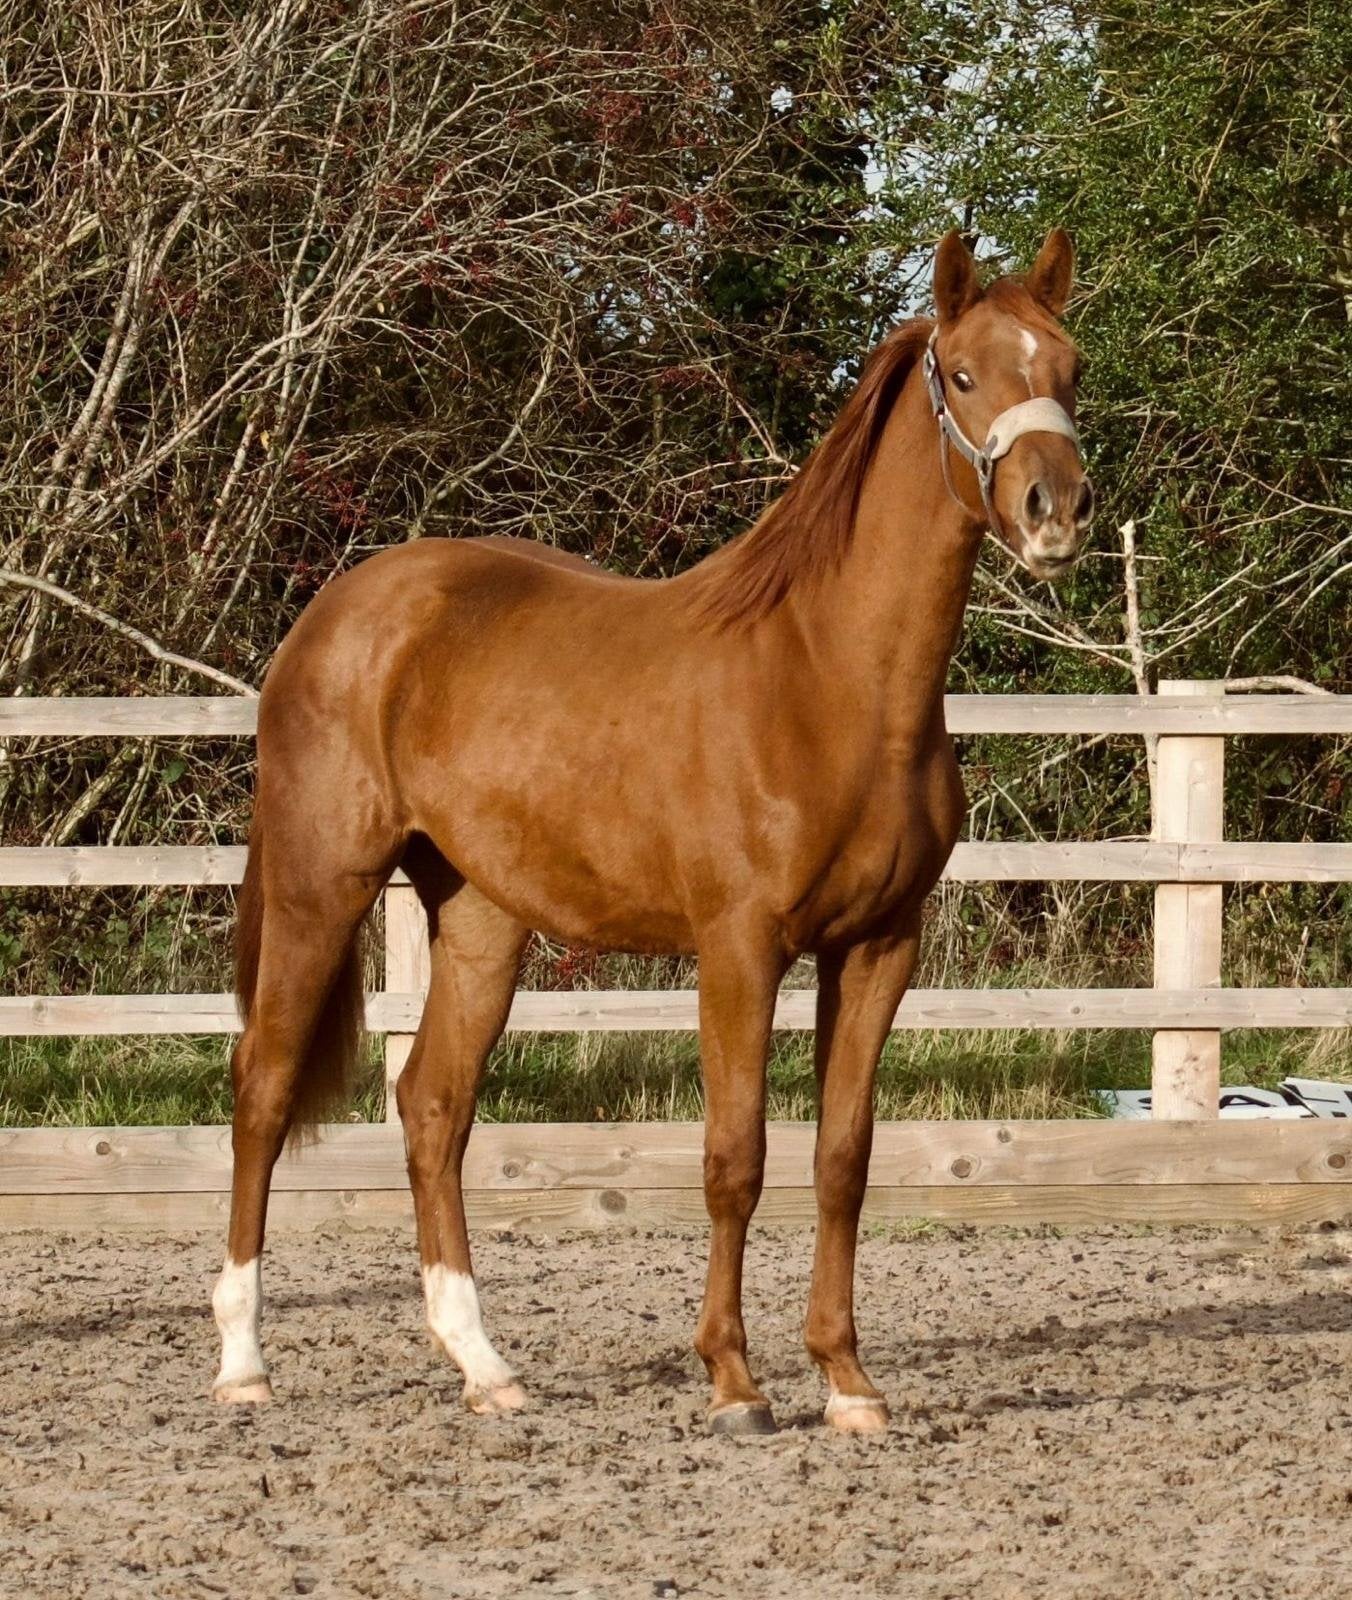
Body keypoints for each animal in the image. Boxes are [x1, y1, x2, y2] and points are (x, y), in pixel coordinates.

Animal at [211, 227, 1094, 1435]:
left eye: (1068, 369)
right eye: (961, 375)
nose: (1055, 507)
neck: (827, 680)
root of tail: (334, 615)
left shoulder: (879, 947)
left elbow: (843, 1157)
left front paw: (846, 1382)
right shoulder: (739, 947)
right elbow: (735, 1156)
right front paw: (733, 1381)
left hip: (480, 917)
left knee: (433, 1105)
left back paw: (486, 1368)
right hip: (319, 885)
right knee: (262, 1089)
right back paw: (243, 1364)